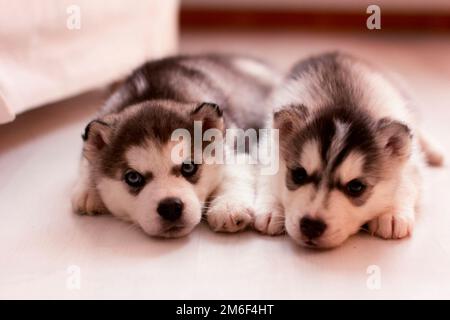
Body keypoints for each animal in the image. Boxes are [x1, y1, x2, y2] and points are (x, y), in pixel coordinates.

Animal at [71, 54, 280, 238]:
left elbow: (234, 172)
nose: (170, 207)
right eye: (133, 178)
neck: (152, 94)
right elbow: (86, 156)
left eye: (188, 167)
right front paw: (88, 190)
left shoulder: (236, 142)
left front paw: (228, 206)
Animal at [255, 52, 444, 248]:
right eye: (298, 174)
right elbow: (266, 178)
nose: (311, 226)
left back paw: (434, 150)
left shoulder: (411, 164)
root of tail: (335, 52)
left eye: (356, 187)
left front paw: (391, 213)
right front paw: (271, 207)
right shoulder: (267, 146)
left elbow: (407, 180)